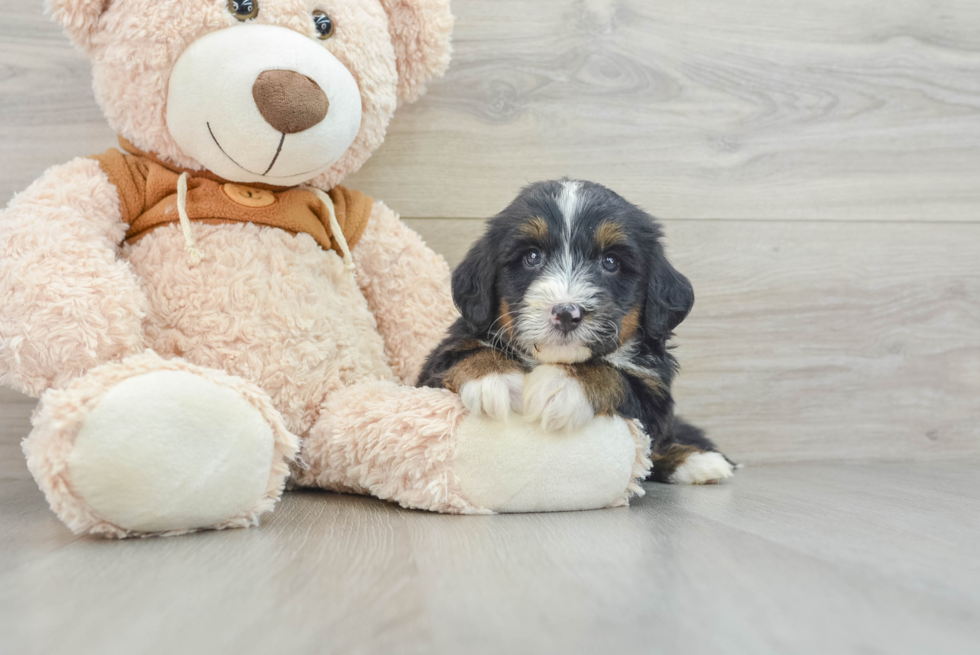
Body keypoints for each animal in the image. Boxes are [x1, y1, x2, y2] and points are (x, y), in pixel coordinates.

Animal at [420, 177, 736, 484]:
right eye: (532, 257)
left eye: (610, 261)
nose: (566, 313)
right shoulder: (436, 364)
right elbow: (462, 354)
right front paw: (493, 378)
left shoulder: (654, 394)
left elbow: (615, 375)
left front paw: (560, 385)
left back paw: (699, 460)